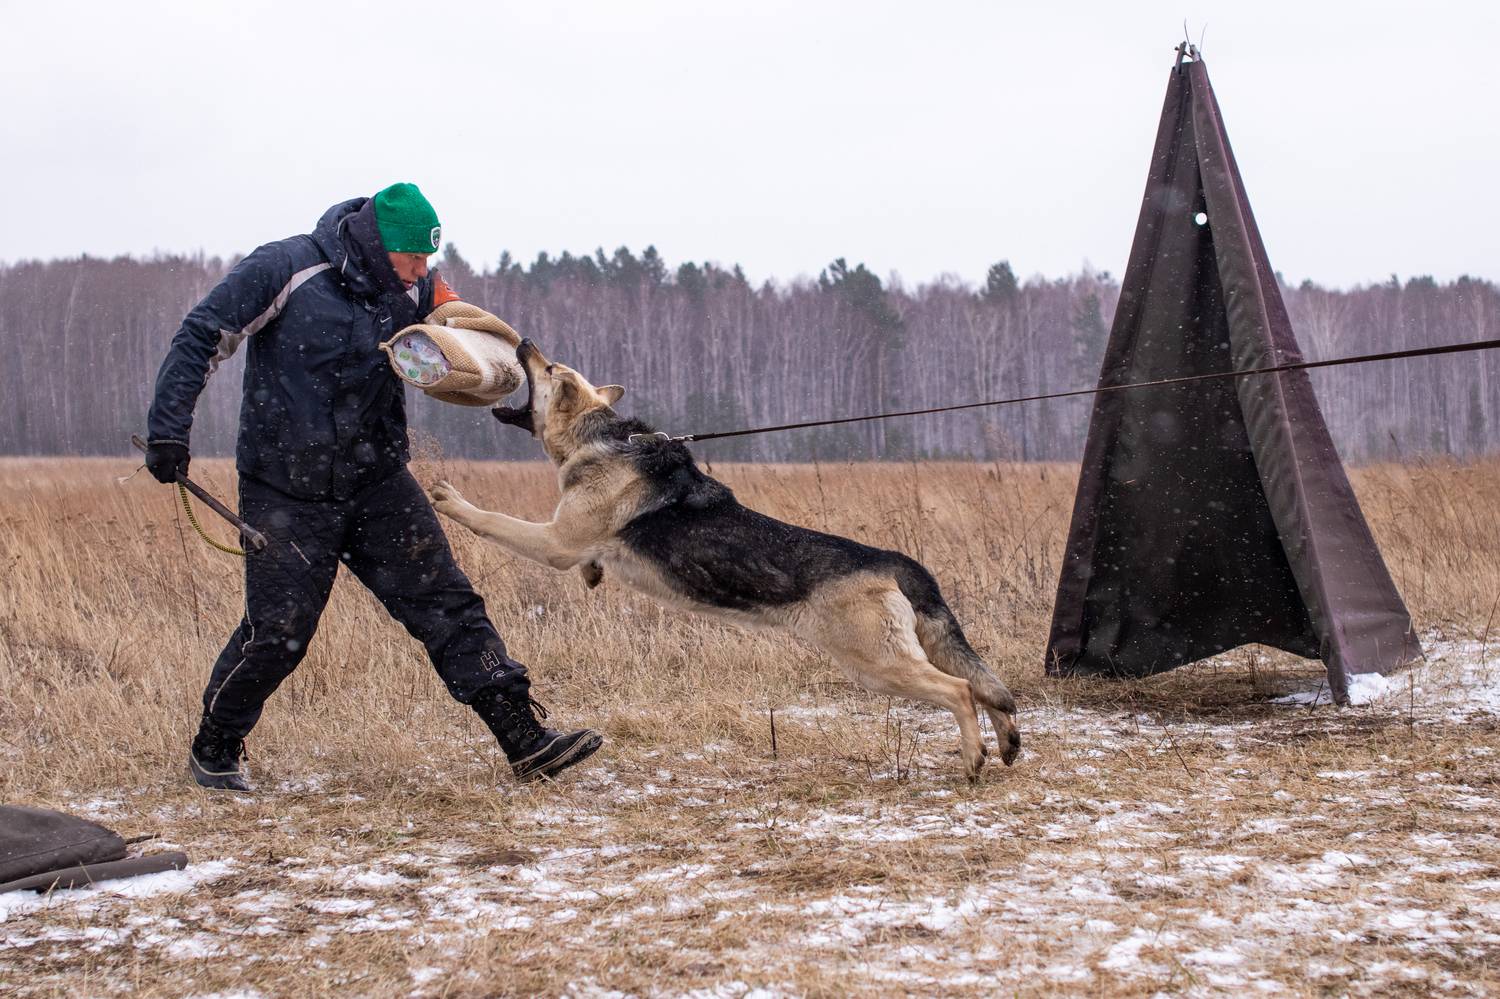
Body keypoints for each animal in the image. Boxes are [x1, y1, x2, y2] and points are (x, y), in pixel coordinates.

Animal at [428, 339, 1021, 779]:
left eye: (548, 369)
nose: (524, 340)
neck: (603, 441)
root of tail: (894, 562)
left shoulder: (553, 540)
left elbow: (492, 519)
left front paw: (449, 499)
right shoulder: (570, 542)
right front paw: (593, 574)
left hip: (877, 664)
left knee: (960, 690)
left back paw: (974, 758)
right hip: (908, 651)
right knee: (988, 688)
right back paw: (1008, 743)